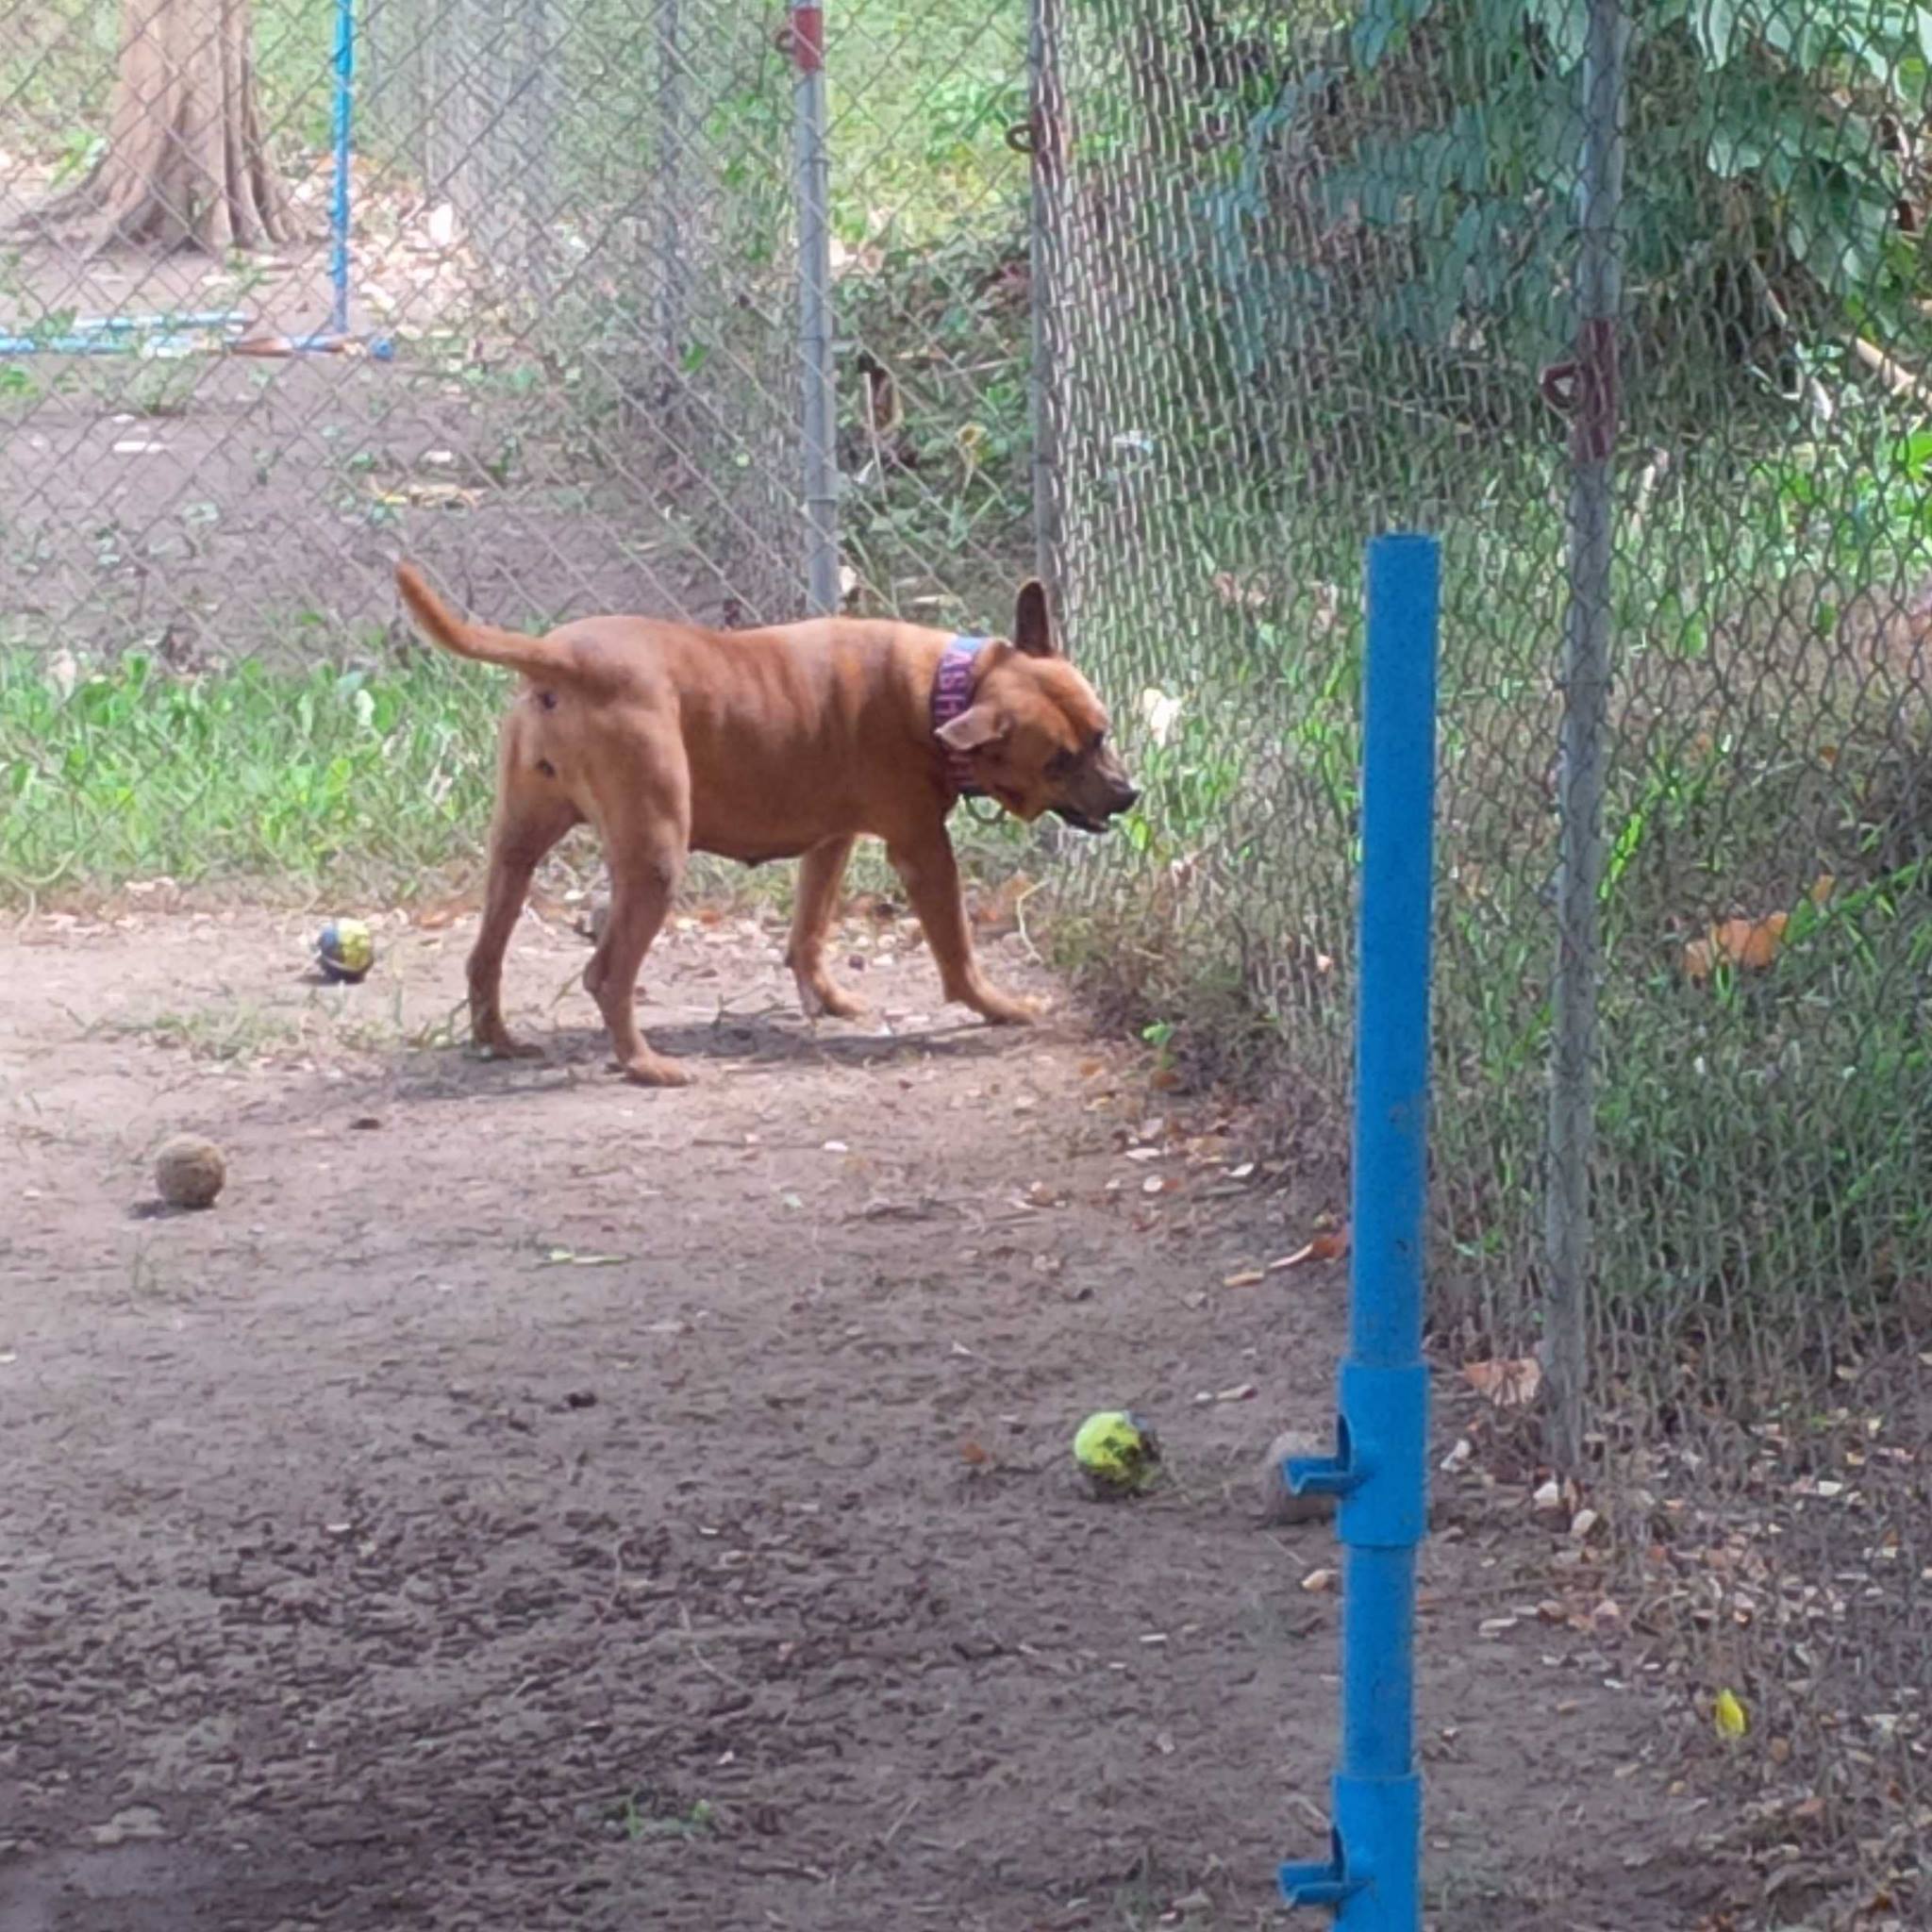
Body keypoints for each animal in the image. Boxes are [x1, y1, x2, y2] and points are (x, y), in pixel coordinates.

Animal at [397, 564, 1136, 1090]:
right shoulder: (923, 850)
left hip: (515, 848)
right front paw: (997, 1007)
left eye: (1102, 733)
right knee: (605, 975)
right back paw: (643, 1064)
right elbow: (955, 949)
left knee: (484, 955)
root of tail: (562, 657)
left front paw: (826, 1000)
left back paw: (497, 1041)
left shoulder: (830, 843)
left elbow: (808, 930)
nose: (1130, 795)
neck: (944, 688)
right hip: (655, 857)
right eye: (1060, 761)